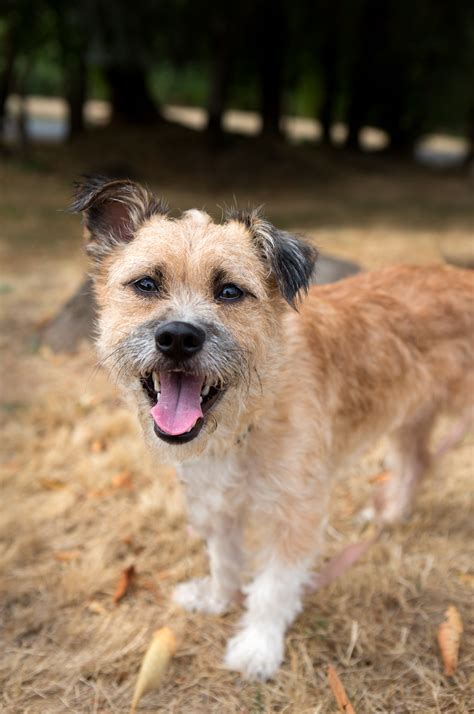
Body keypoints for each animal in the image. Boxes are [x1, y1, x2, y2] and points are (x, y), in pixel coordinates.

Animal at [71, 177, 474, 680]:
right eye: (146, 283)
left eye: (230, 291)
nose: (179, 337)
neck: (247, 418)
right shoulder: (216, 501)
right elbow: (225, 560)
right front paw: (217, 600)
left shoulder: (294, 512)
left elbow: (273, 586)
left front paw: (258, 646)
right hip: (409, 417)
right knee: (416, 463)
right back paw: (389, 516)